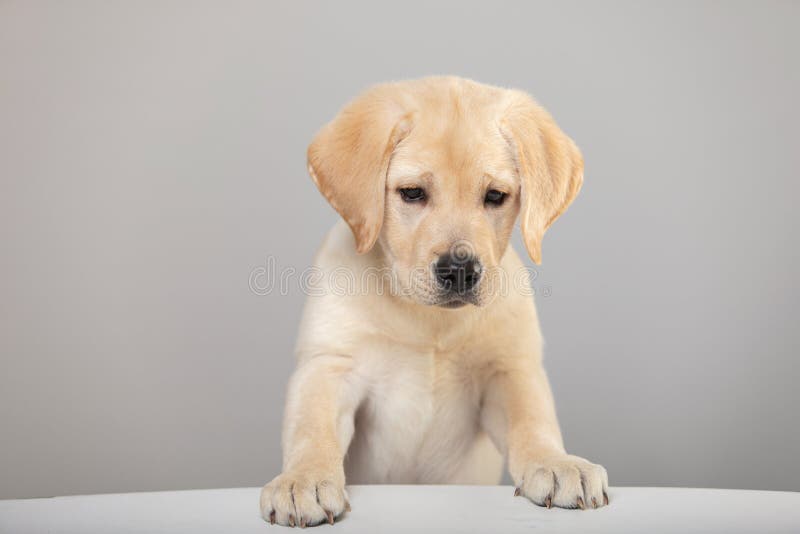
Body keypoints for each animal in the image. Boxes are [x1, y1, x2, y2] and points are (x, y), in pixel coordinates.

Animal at [260, 77, 608, 528]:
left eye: (495, 196)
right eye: (412, 193)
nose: (459, 270)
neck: (428, 322)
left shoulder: (508, 370)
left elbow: (532, 420)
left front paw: (556, 462)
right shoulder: (330, 366)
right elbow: (311, 427)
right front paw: (303, 479)